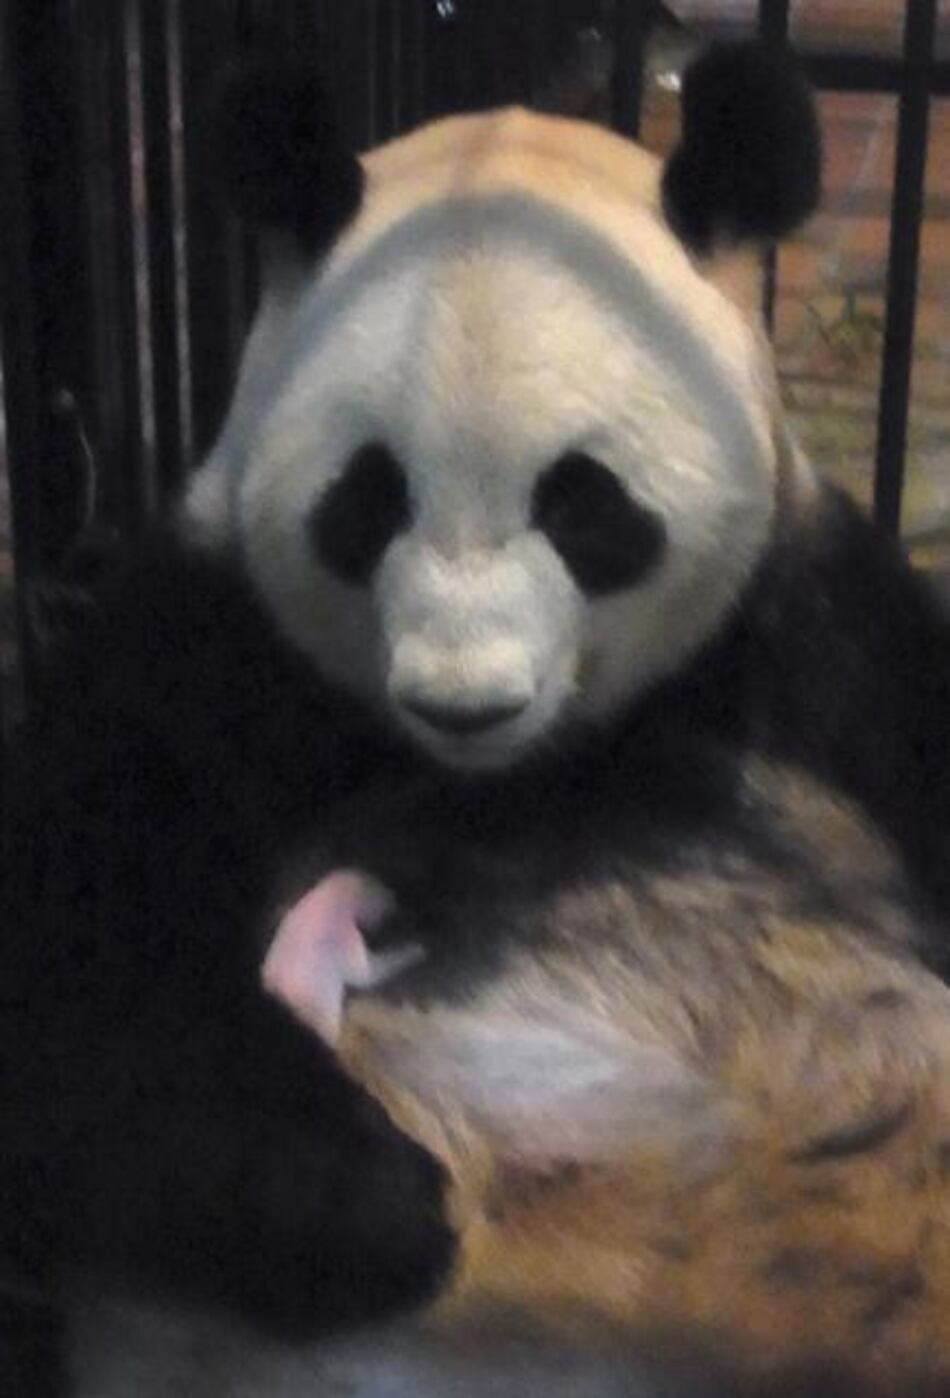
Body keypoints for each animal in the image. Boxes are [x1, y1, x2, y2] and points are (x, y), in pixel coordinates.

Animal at [3, 36, 950, 1397]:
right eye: (366, 499)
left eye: (583, 505)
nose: (464, 702)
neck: (506, 772)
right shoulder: (211, 641)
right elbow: (68, 956)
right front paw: (370, 1201)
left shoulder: (811, 625)